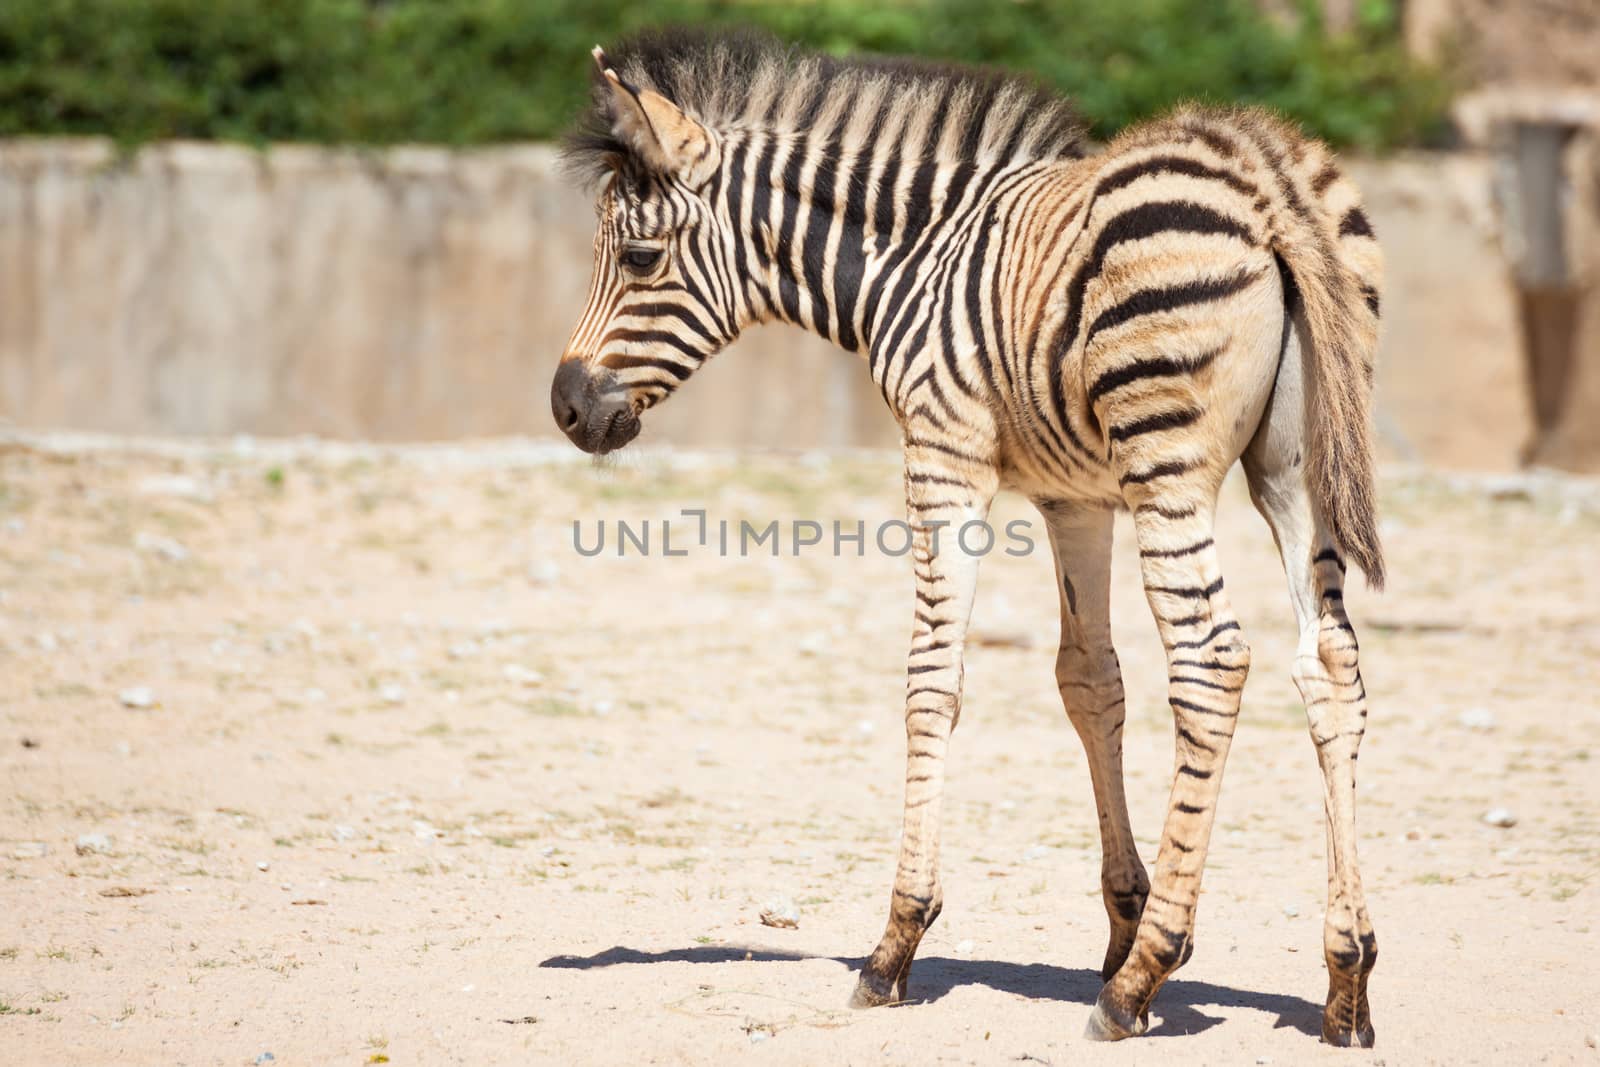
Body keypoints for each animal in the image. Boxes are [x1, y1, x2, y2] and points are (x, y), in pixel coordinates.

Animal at [550, 29, 1388, 1049]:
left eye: (637, 257)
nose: (565, 406)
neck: (912, 263)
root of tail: (1267, 182)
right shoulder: (1075, 497)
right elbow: (1090, 681)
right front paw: (1121, 919)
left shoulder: (945, 457)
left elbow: (931, 678)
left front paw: (897, 943)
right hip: (1293, 466)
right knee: (1330, 665)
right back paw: (1343, 978)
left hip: (1172, 466)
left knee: (1211, 661)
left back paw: (1137, 984)